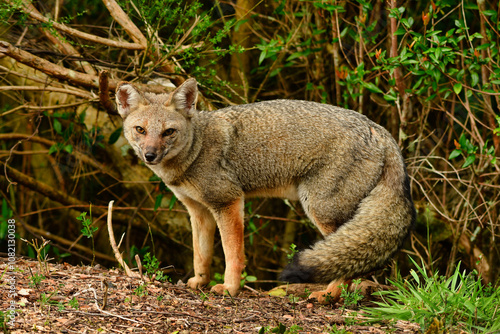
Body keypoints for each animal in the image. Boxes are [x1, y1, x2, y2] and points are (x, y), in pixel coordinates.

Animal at [115, 78, 416, 302]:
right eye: (140, 130)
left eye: (168, 132)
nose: (150, 156)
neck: (195, 150)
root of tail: (379, 129)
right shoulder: (198, 211)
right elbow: (201, 254)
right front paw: (199, 282)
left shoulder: (228, 201)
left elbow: (232, 254)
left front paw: (230, 289)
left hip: (322, 210)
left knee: (348, 260)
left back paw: (328, 295)